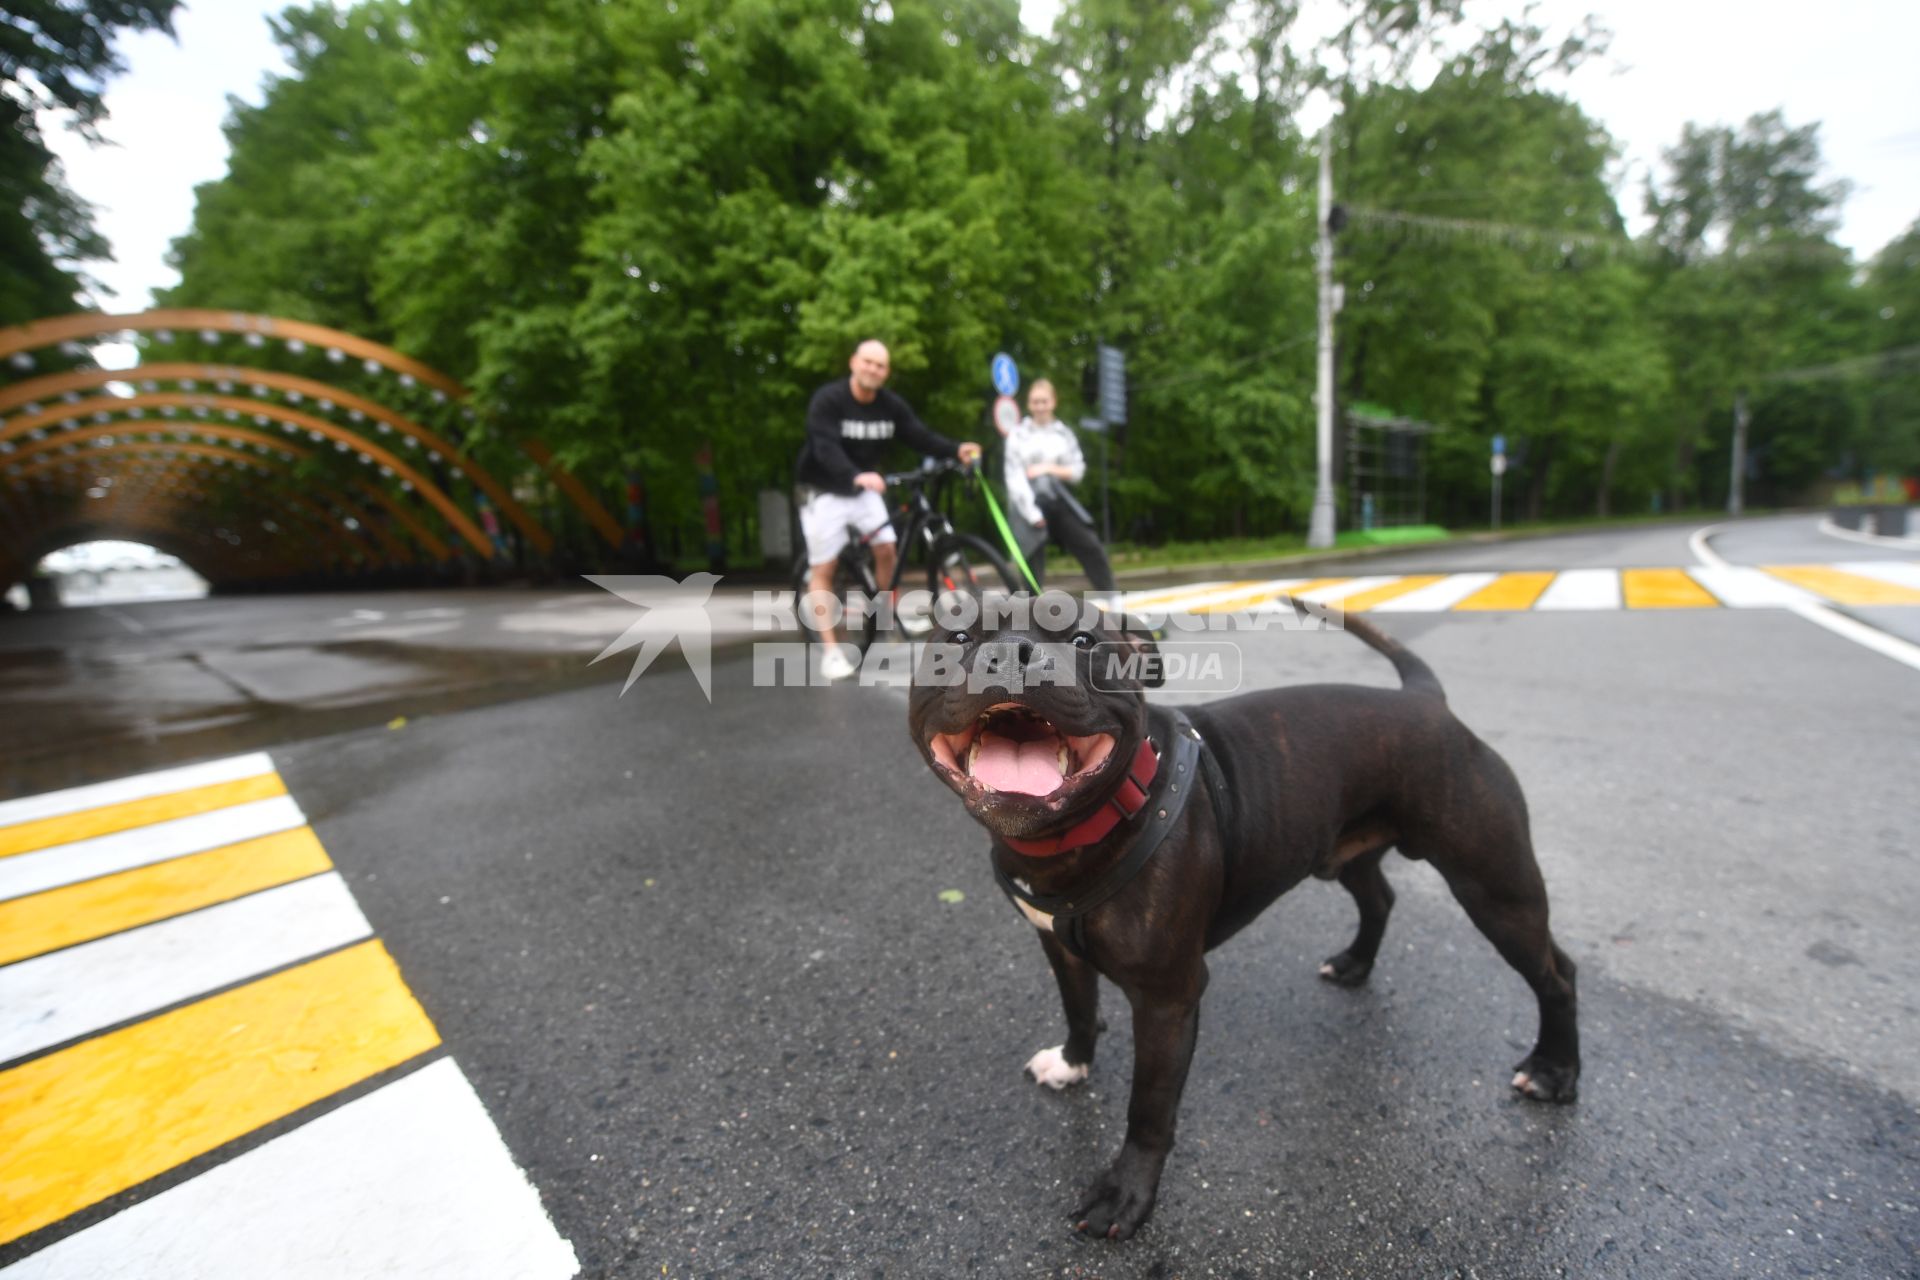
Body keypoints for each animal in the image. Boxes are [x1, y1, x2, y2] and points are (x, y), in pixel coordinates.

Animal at [906, 598, 1582, 1243]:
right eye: (957, 638)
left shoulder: (1168, 999)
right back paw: (1355, 963)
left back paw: (1554, 1071)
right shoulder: (1059, 947)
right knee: (1380, 899)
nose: (1013, 654)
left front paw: (1125, 1196)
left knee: (1557, 973)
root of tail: (1424, 700)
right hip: (1347, 849)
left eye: (1083, 640)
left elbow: (1149, 1107)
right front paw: (1073, 1061)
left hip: (1495, 889)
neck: (1074, 836)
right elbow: (1078, 1007)